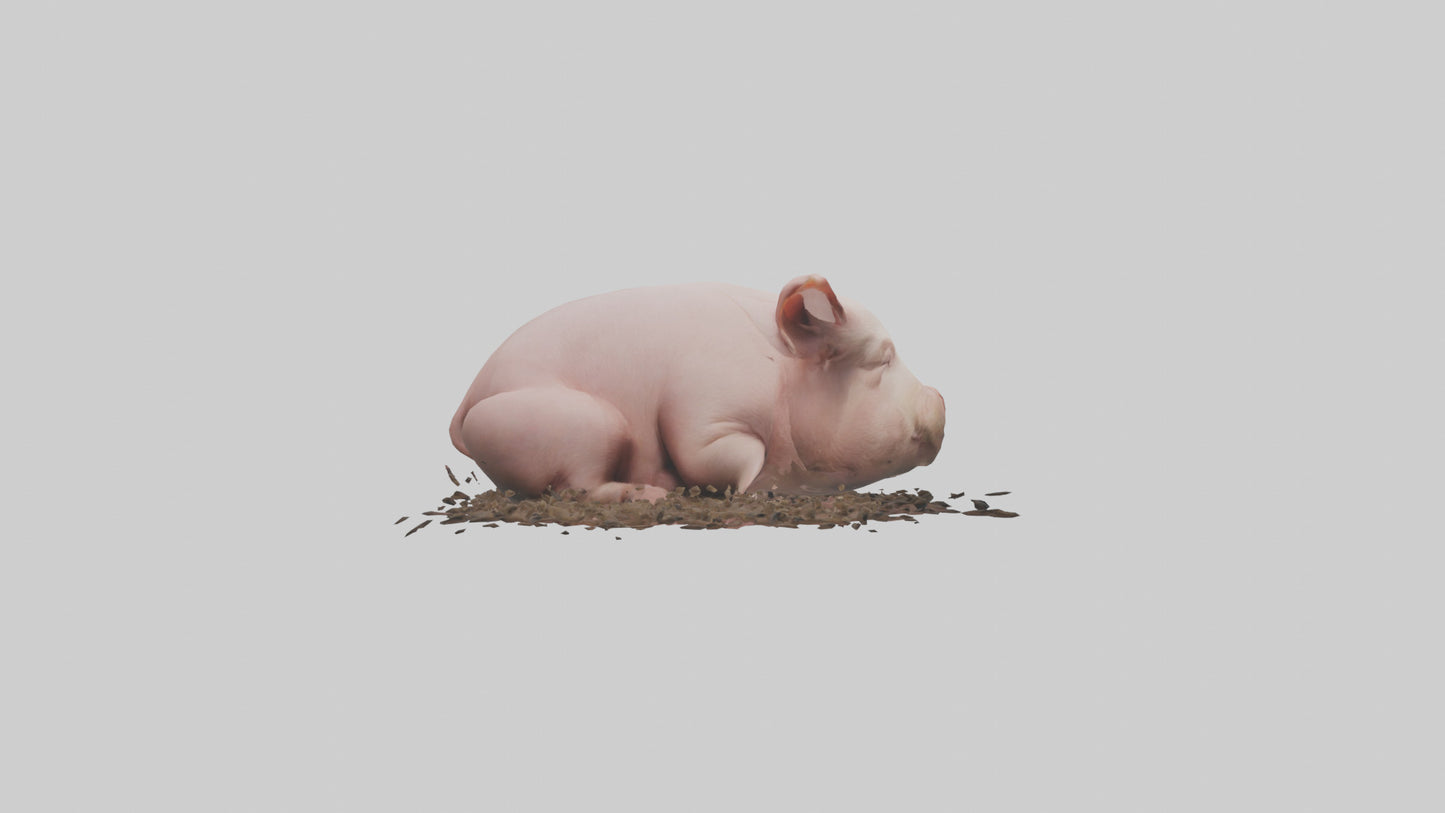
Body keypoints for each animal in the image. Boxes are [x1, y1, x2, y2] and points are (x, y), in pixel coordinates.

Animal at [449, 276, 945, 502]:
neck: (783, 381)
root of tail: (469, 400)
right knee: (579, 485)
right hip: (582, 422)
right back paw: (653, 495)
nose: (941, 400)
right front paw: (740, 489)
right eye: (881, 359)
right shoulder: (701, 409)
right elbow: (710, 453)